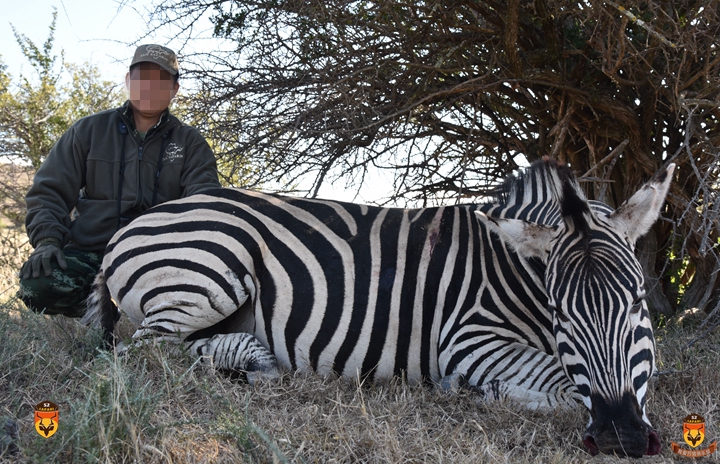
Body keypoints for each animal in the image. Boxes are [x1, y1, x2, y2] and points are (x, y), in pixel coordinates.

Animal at [84, 160, 676, 456]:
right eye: (560, 313)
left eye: (638, 302)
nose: (621, 438)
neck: (512, 268)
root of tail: (135, 223)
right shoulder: (468, 338)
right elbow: (559, 385)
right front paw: (480, 391)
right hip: (209, 270)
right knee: (147, 355)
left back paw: (254, 360)